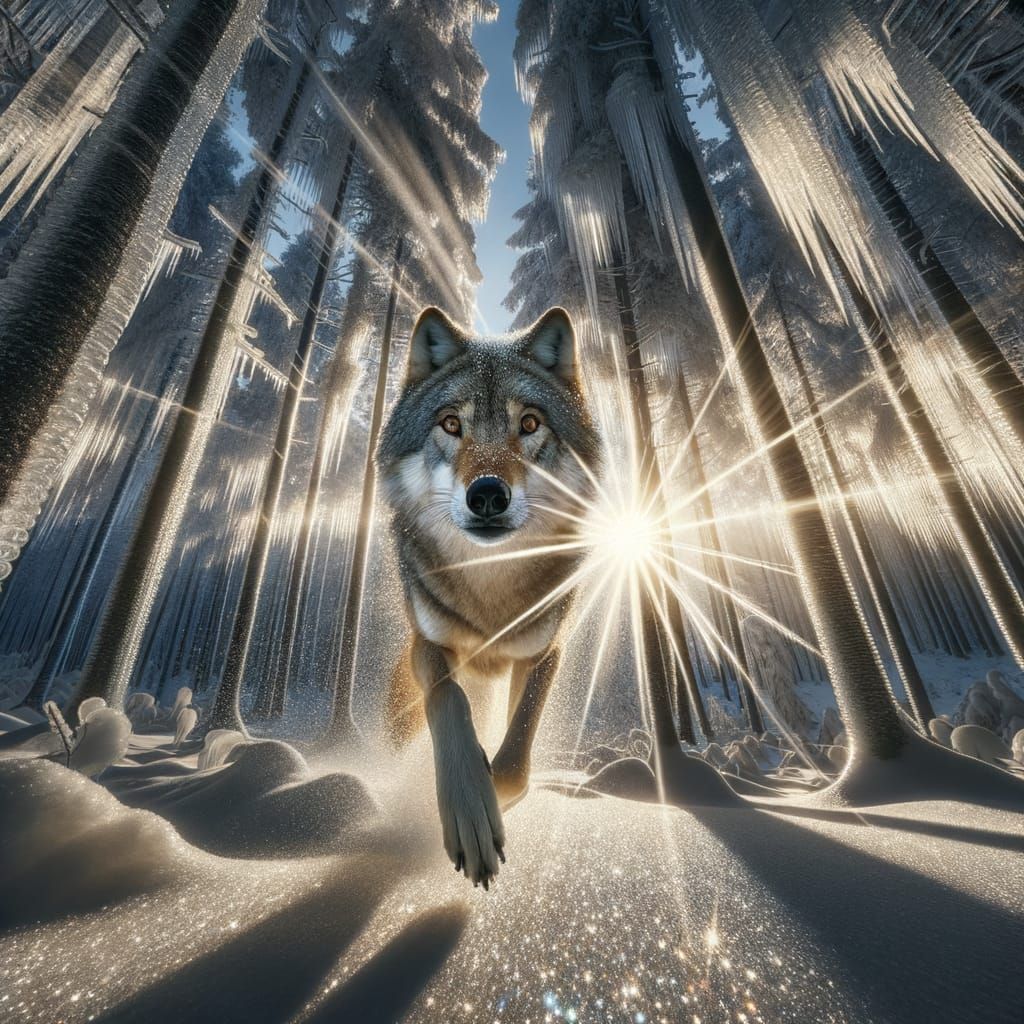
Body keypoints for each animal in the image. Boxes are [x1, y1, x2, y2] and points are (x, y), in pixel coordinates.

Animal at [377, 305, 600, 888]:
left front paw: (491, 794)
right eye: (452, 424)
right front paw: (468, 811)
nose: (487, 494)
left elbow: (516, 762)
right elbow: (449, 703)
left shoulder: (545, 651)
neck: (490, 584)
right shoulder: (430, 645)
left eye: (530, 424)